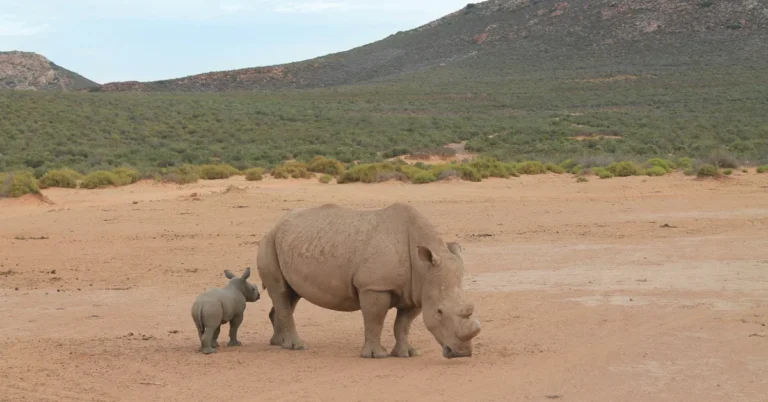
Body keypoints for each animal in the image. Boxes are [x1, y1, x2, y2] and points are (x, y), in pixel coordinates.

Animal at [256, 203, 481, 359]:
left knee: (290, 296)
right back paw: (297, 346)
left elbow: (403, 324)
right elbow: (375, 320)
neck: (423, 269)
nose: (461, 353)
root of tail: (275, 224)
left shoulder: (417, 291)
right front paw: (376, 355)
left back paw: (278, 343)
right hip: (268, 242)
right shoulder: (375, 287)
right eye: (440, 312)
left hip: (286, 242)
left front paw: (407, 353)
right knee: (281, 292)